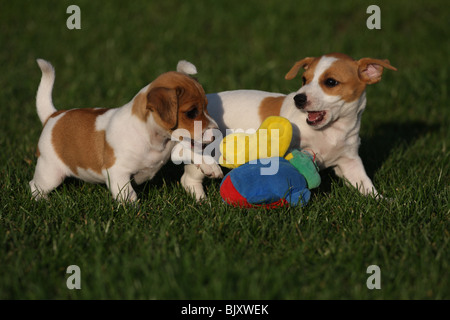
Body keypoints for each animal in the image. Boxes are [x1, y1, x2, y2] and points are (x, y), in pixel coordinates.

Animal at [29, 58, 221, 201]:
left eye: (206, 107)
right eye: (191, 113)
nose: (217, 133)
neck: (154, 138)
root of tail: (54, 115)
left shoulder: (173, 148)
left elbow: (193, 150)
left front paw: (210, 166)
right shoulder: (118, 172)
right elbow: (128, 195)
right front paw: (133, 212)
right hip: (50, 173)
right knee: (34, 185)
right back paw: (42, 201)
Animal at [181, 52, 396, 199]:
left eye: (331, 82)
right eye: (304, 79)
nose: (298, 98)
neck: (330, 131)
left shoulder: (350, 161)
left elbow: (365, 183)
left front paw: (380, 201)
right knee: (189, 179)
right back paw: (202, 200)